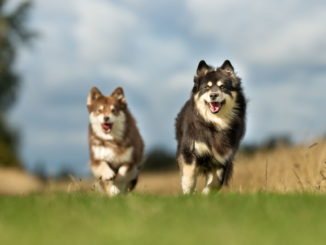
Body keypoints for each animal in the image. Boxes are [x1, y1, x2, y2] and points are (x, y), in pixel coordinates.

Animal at [174, 59, 246, 193]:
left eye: (222, 87)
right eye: (207, 87)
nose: (213, 95)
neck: (214, 122)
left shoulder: (223, 156)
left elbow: (217, 180)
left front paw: (206, 193)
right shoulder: (189, 150)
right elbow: (189, 174)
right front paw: (188, 191)